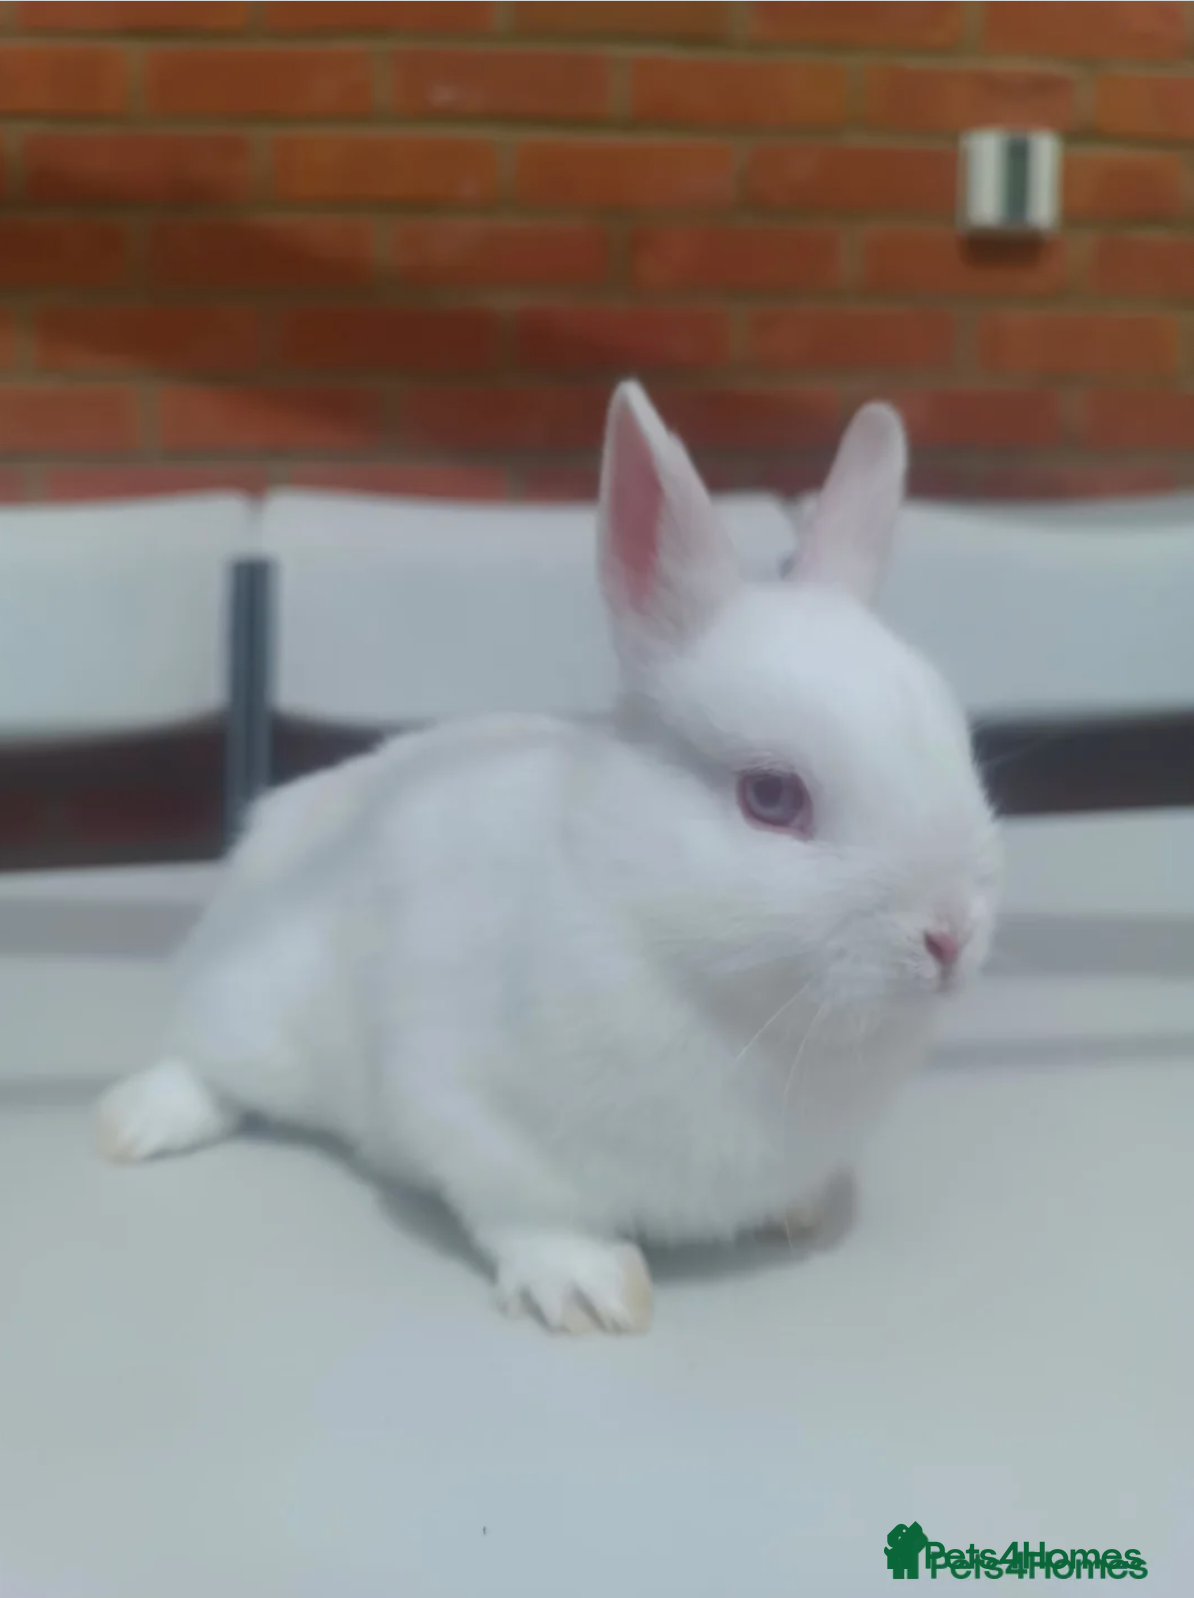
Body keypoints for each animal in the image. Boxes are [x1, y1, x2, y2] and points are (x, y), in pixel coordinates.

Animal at [96, 381, 1001, 1336]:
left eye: (961, 746)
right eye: (771, 797)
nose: (950, 936)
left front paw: (798, 1210)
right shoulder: (474, 1116)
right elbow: (527, 1215)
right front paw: (591, 1292)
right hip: (250, 1010)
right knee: (201, 1057)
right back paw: (134, 1124)